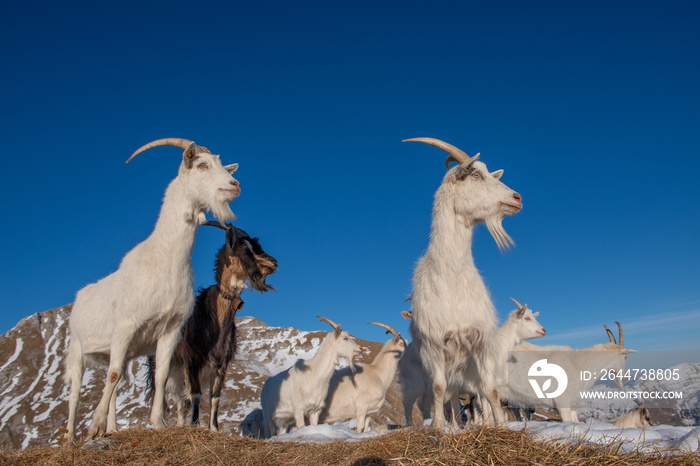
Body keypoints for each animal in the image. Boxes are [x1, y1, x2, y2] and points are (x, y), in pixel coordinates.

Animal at [64, 138, 242, 440]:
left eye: (222, 164)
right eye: (201, 164)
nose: (235, 185)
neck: (164, 260)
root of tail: (79, 297)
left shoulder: (170, 329)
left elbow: (159, 376)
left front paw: (157, 422)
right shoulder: (125, 326)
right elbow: (112, 376)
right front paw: (93, 426)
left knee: (116, 384)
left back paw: (112, 428)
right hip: (77, 348)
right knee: (76, 392)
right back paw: (70, 437)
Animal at [147, 224, 276, 432]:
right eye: (244, 248)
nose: (274, 262)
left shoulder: (221, 363)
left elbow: (214, 396)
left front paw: (214, 428)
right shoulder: (192, 360)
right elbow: (196, 395)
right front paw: (195, 425)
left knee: (180, 402)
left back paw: (180, 424)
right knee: (161, 391)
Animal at [404, 137, 520, 430]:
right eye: (475, 174)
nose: (517, 198)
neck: (452, 279)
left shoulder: (480, 340)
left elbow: (490, 389)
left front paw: (500, 427)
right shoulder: (435, 345)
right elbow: (438, 388)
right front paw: (438, 428)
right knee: (450, 391)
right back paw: (453, 425)